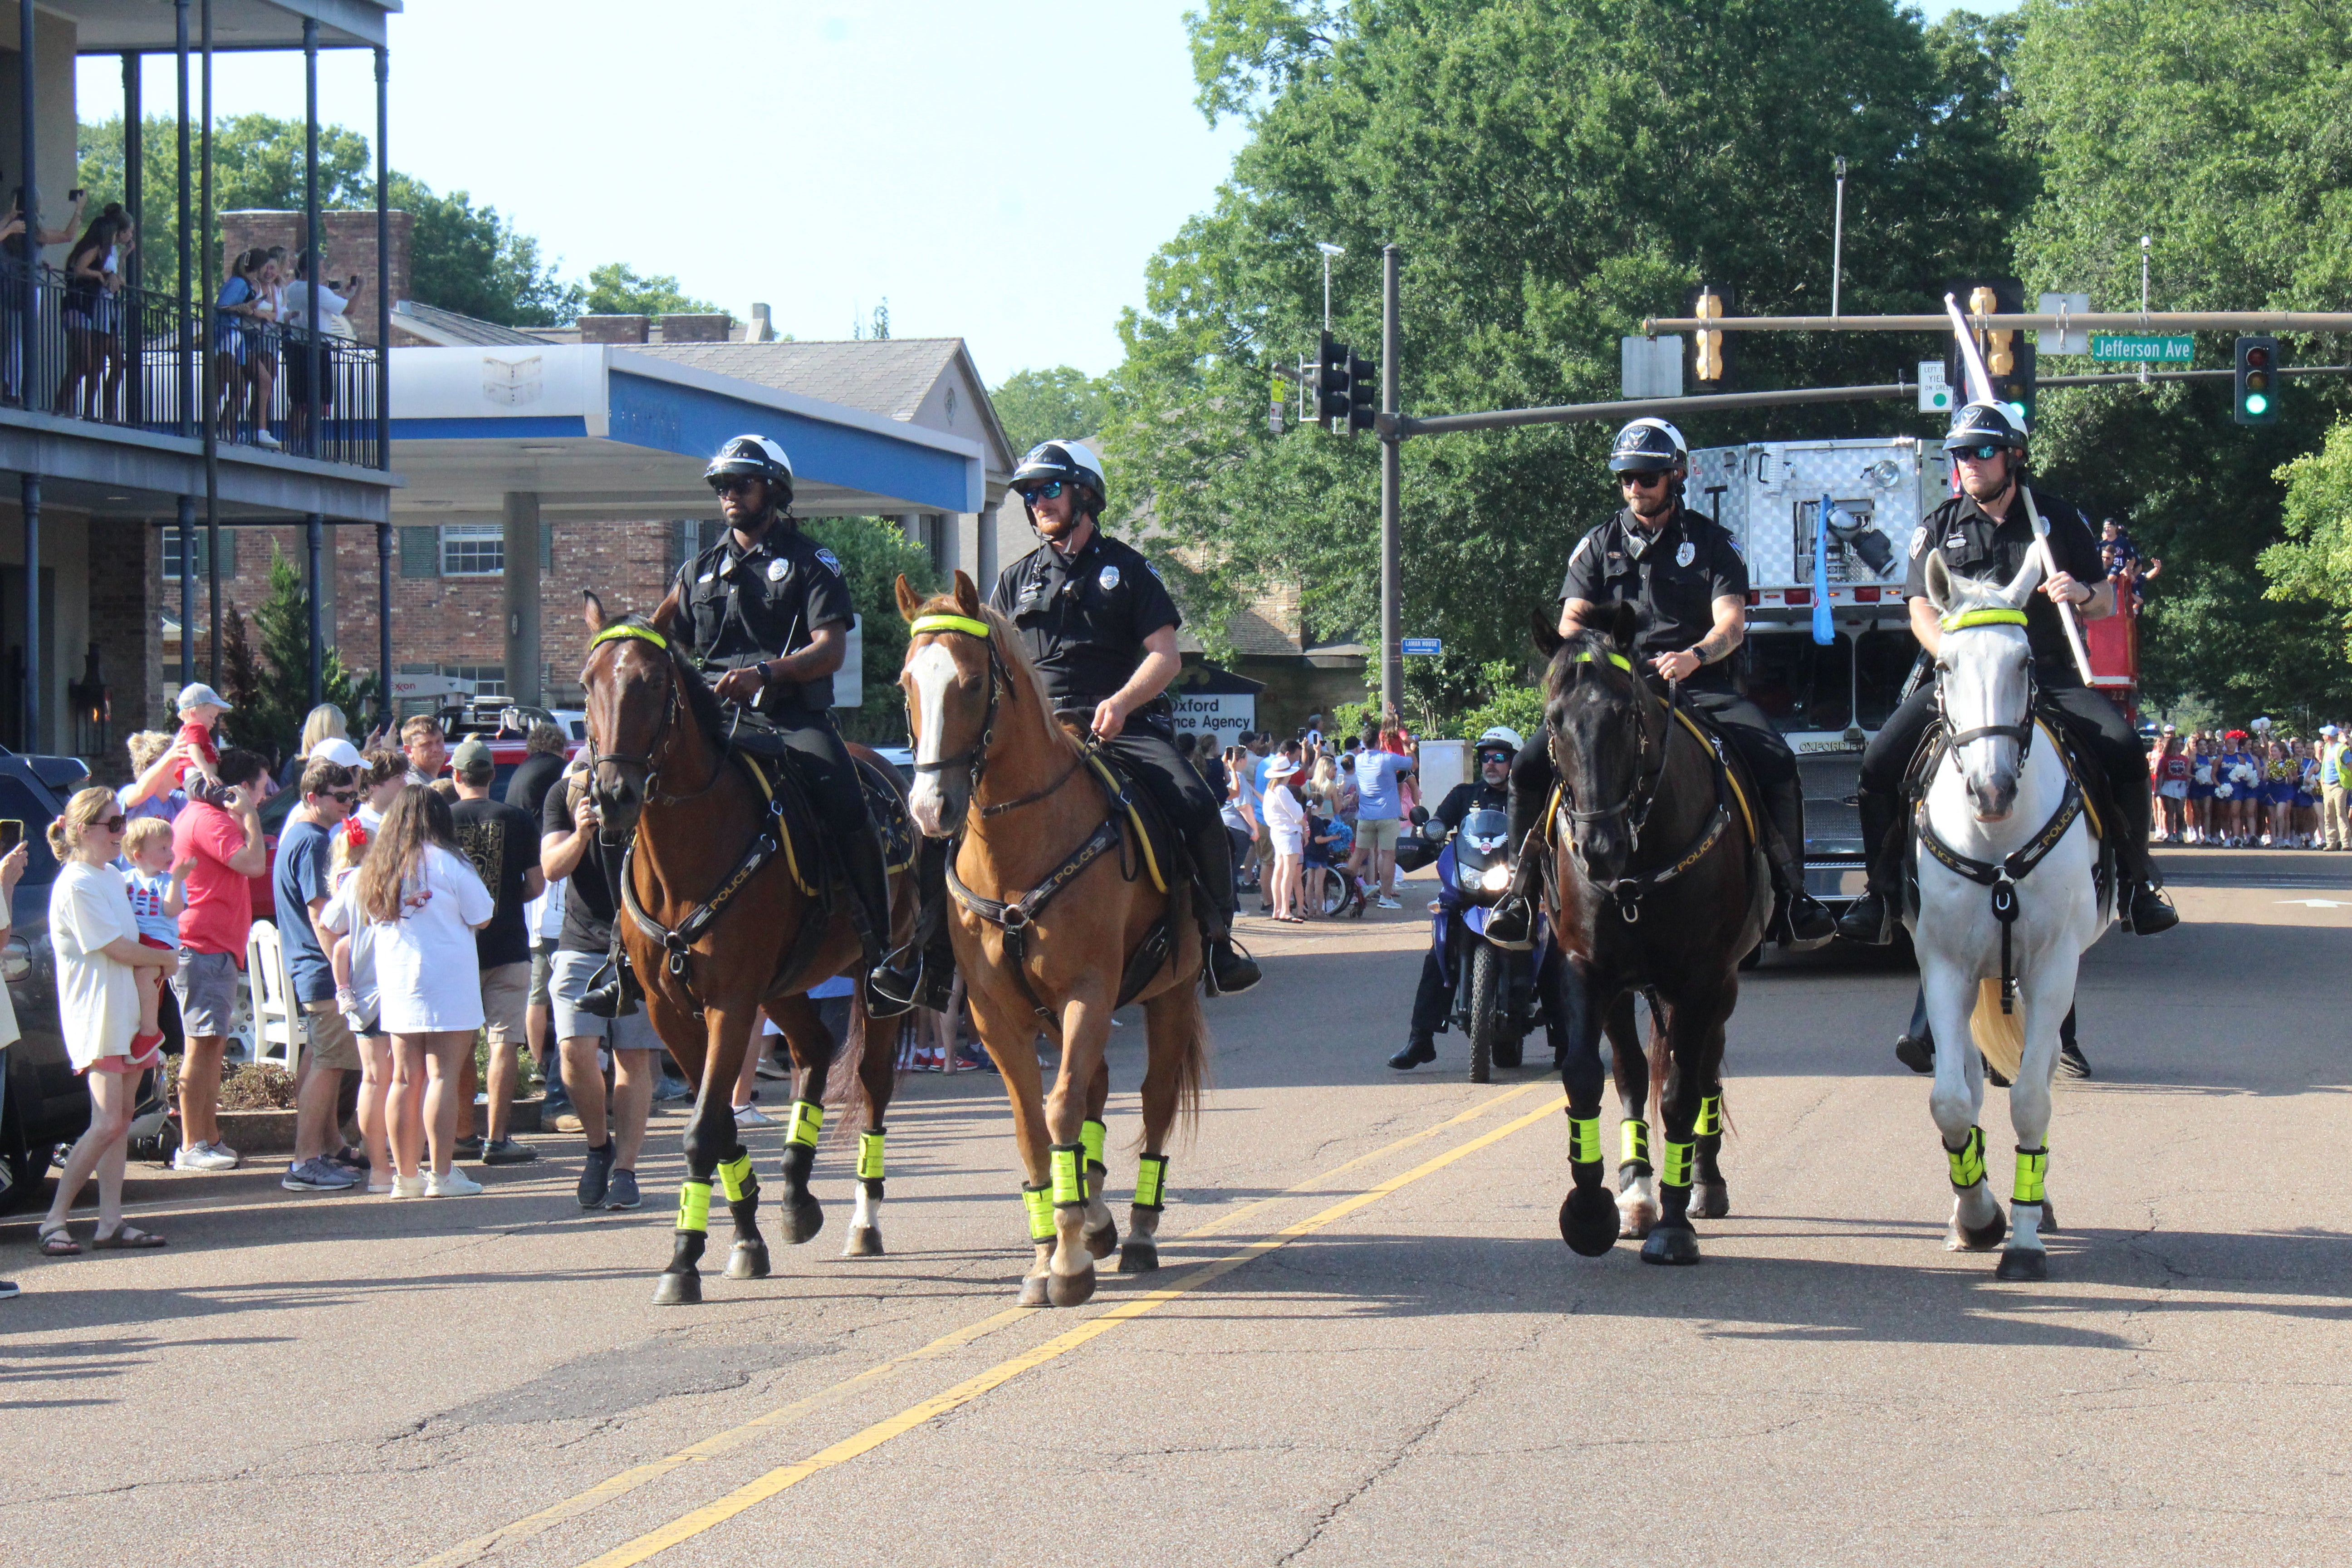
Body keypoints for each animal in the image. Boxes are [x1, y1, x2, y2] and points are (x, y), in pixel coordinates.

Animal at [581, 585, 917, 1298]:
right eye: (587, 683)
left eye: (653, 683)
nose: (614, 795)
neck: (683, 859)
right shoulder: (670, 1008)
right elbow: (719, 1123)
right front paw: (744, 1234)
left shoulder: (730, 1003)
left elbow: (703, 1128)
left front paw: (684, 1257)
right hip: (787, 983)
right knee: (813, 1050)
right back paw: (795, 1194)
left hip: (873, 978)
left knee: (871, 1083)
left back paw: (864, 1221)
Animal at [889, 576, 1204, 1316]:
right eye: (906, 683)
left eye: (973, 683)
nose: (930, 810)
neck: (1018, 851)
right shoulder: (995, 1014)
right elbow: (1034, 1123)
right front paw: (1048, 1251)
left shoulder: (1087, 991)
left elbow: (1061, 1107)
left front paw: (1067, 1261)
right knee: (1097, 1087)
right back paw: (1096, 1214)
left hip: (1171, 992)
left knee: (1151, 1099)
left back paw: (1137, 1230)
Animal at [1524, 606, 1769, 1269]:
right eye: (1554, 721)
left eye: (1625, 715)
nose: (1598, 847)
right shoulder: (1587, 969)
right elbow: (1591, 1076)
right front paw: (1594, 1210)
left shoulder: (1700, 979)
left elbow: (1683, 1094)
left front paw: (1676, 1224)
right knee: (1635, 1074)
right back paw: (1637, 1193)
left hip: (1723, 985)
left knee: (1705, 1072)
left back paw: (1704, 1185)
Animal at [1910, 545, 2117, 1279]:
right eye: (1945, 665)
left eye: (2025, 662)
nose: (1992, 790)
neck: (1995, 842)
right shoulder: (1943, 965)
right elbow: (1950, 1100)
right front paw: (1976, 1216)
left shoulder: (2054, 965)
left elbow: (2031, 1097)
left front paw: (2024, 1236)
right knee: (1972, 1080)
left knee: (2040, 1063)